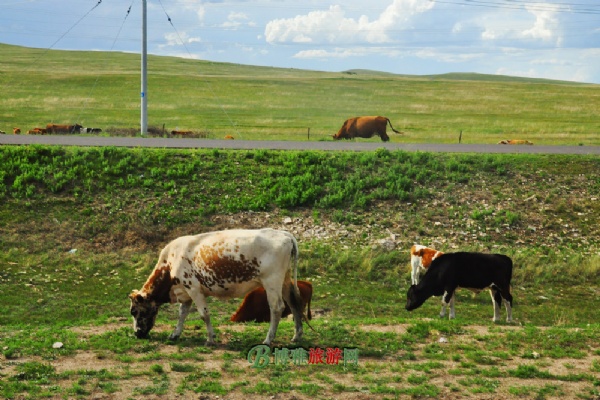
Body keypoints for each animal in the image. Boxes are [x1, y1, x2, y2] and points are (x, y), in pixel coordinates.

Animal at [132, 230, 310, 346]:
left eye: (134, 311)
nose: (136, 333)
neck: (171, 262)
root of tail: (283, 234)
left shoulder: (194, 289)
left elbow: (204, 314)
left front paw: (210, 339)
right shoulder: (186, 292)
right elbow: (182, 314)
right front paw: (175, 334)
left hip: (272, 281)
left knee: (277, 308)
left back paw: (268, 339)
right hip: (285, 280)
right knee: (294, 303)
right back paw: (297, 335)